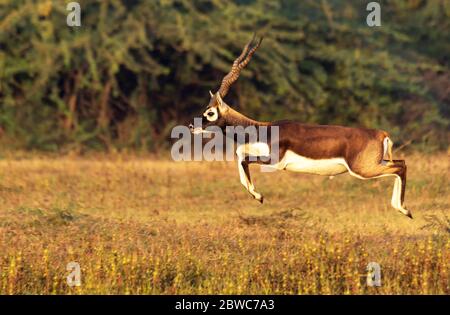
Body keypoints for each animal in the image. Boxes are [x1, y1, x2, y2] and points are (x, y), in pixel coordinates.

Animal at [188, 35, 414, 220]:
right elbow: (239, 155)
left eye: (210, 112)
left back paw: (404, 210)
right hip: (376, 163)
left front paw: (259, 196)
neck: (264, 129)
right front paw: (257, 196)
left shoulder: (274, 161)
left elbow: (243, 159)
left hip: (363, 169)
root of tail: (381, 133)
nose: (191, 125)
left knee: (400, 167)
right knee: (401, 163)